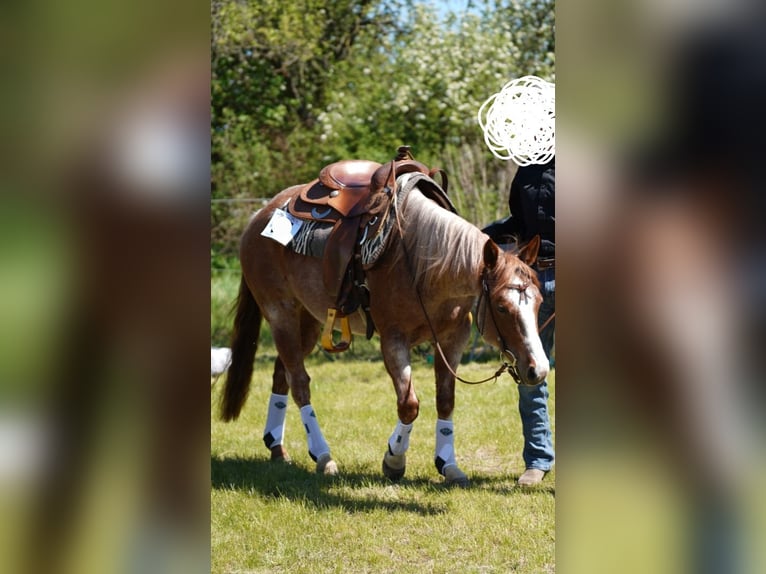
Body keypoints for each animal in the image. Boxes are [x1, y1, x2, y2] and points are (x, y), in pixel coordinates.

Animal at [219, 172, 549, 486]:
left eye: (539, 302)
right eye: (502, 307)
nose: (539, 369)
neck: (423, 263)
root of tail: (259, 216)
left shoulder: (453, 338)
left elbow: (445, 400)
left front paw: (448, 465)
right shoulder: (393, 340)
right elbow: (409, 404)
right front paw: (394, 460)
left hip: (309, 319)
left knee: (282, 373)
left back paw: (277, 448)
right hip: (280, 313)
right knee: (299, 382)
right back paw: (323, 456)